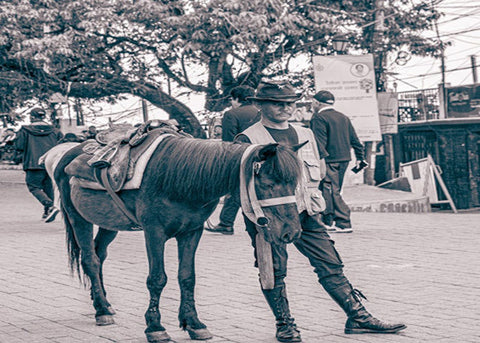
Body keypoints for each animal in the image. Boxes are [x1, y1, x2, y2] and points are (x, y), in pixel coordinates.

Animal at [48, 130, 304, 342]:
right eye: (268, 183)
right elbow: (157, 279)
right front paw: (155, 327)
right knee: (90, 260)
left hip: (108, 222)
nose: (292, 232)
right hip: (78, 217)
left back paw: (103, 303)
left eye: (294, 184)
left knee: (99, 254)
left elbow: (187, 277)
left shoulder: (191, 232)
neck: (177, 178)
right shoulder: (154, 232)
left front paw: (193, 322)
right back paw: (101, 309)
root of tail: (67, 154)